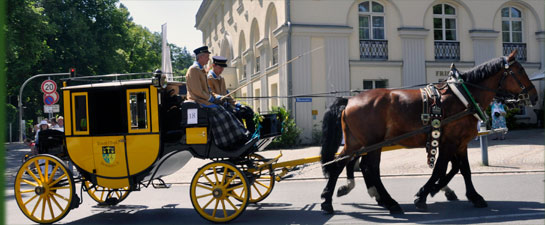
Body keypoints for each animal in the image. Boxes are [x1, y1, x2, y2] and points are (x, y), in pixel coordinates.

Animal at [318, 51, 536, 214]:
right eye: (520, 70)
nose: (534, 94)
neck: (463, 97)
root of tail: (349, 100)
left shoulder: (461, 143)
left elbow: (464, 169)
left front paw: (473, 196)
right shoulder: (450, 142)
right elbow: (441, 168)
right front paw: (423, 194)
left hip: (356, 142)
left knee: (340, 164)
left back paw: (328, 200)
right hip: (371, 143)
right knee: (368, 168)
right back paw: (389, 202)